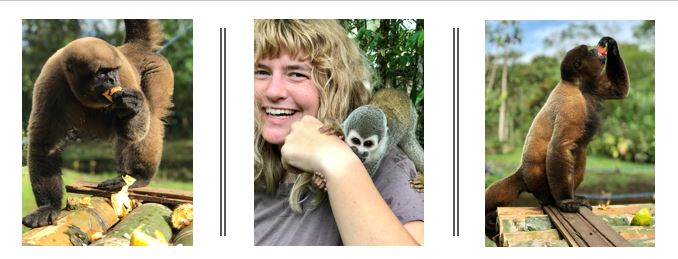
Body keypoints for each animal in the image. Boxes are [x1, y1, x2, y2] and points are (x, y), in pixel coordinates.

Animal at [22, 19, 174, 229]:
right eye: (101, 72)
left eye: (112, 71)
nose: (112, 79)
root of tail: (133, 46)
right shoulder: (49, 82)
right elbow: (44, 144)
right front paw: (48, 207)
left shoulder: (125, 78)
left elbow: (136, 132)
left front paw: (131, 107)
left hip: (157, 70)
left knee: (151, 117)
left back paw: (137, 175)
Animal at [486, 37, 628, 240]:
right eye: (590, 51)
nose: (598, 49)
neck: (577, 84)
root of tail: (521, 172)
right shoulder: (571, 104)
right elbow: (559, 146)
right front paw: (566, 202)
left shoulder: (594, 85)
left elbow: (619, 90)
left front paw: (611, 44)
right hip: (537, 179)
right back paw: (556, 200)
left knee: (579, 153)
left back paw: (576, 196)